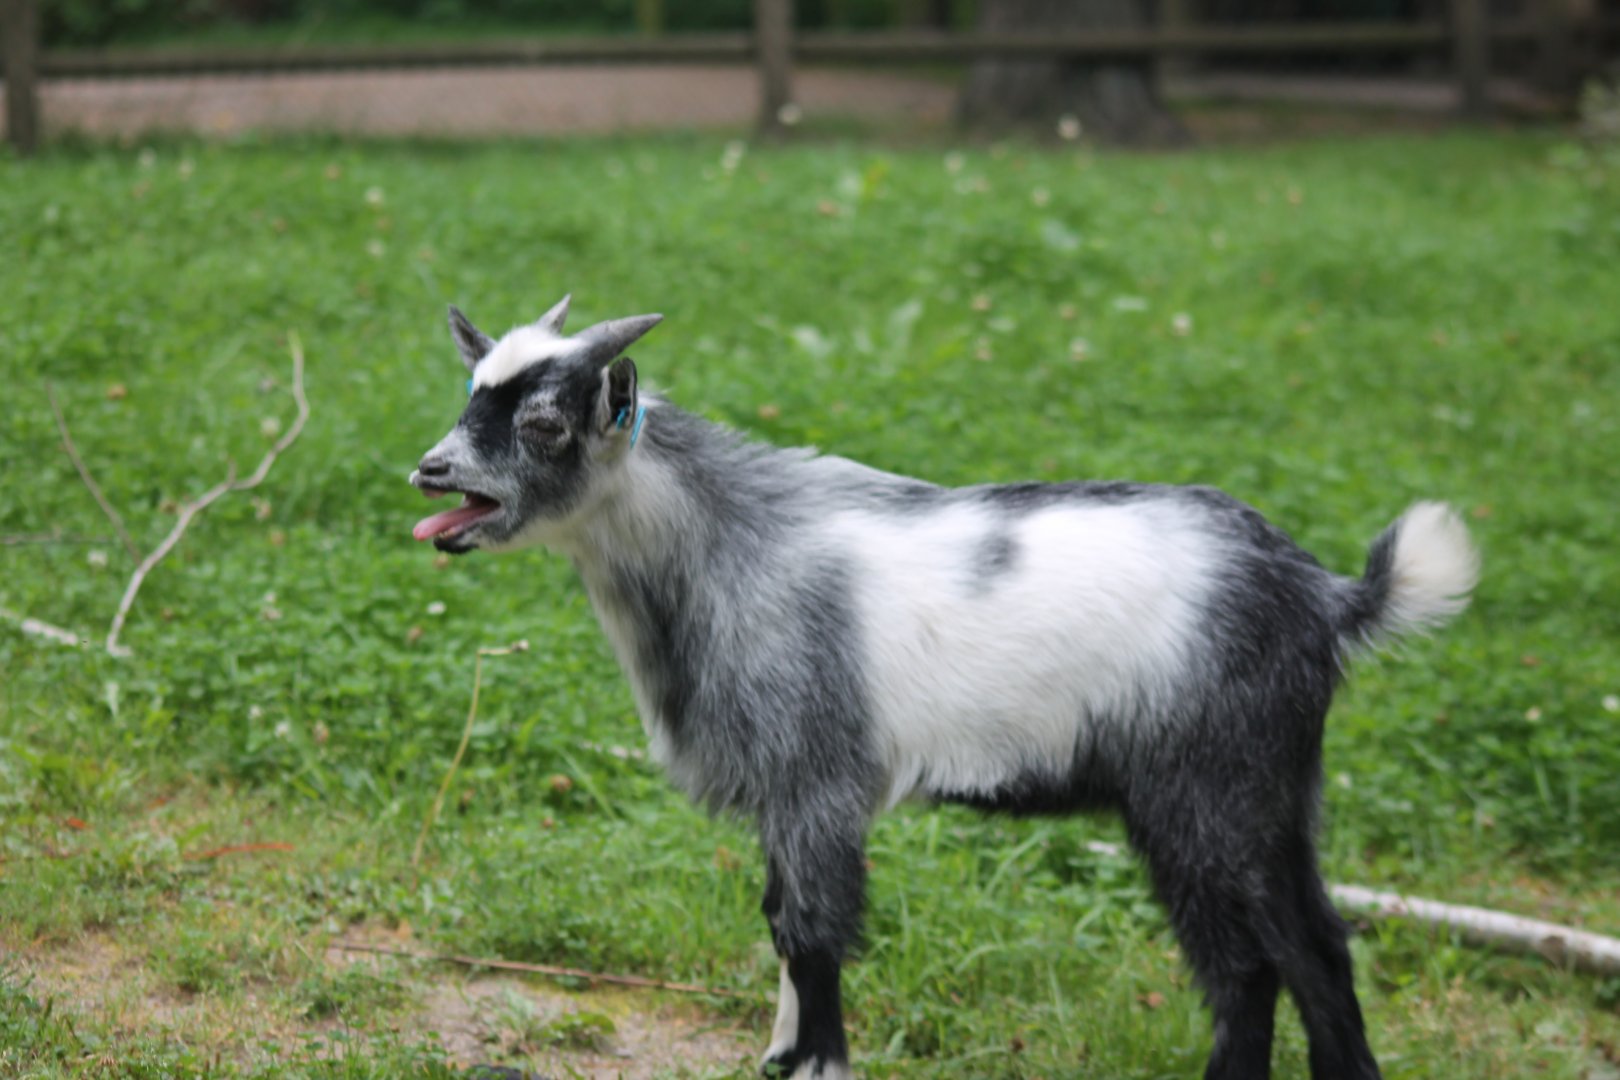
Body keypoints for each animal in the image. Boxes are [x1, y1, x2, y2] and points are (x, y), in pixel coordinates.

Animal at [409, 297, 1479, 1080]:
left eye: (545, 422)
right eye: (467, 397)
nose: (431, 471)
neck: (729, 549)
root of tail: (1326, 595)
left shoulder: (818, 781)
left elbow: (812, 932)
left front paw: (817, 1065)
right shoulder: (786, 795)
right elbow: (779, 919)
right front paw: (778, 1055)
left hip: (1207, 792)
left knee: (1251, 964)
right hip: (1270, 796)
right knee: (1311, 950)